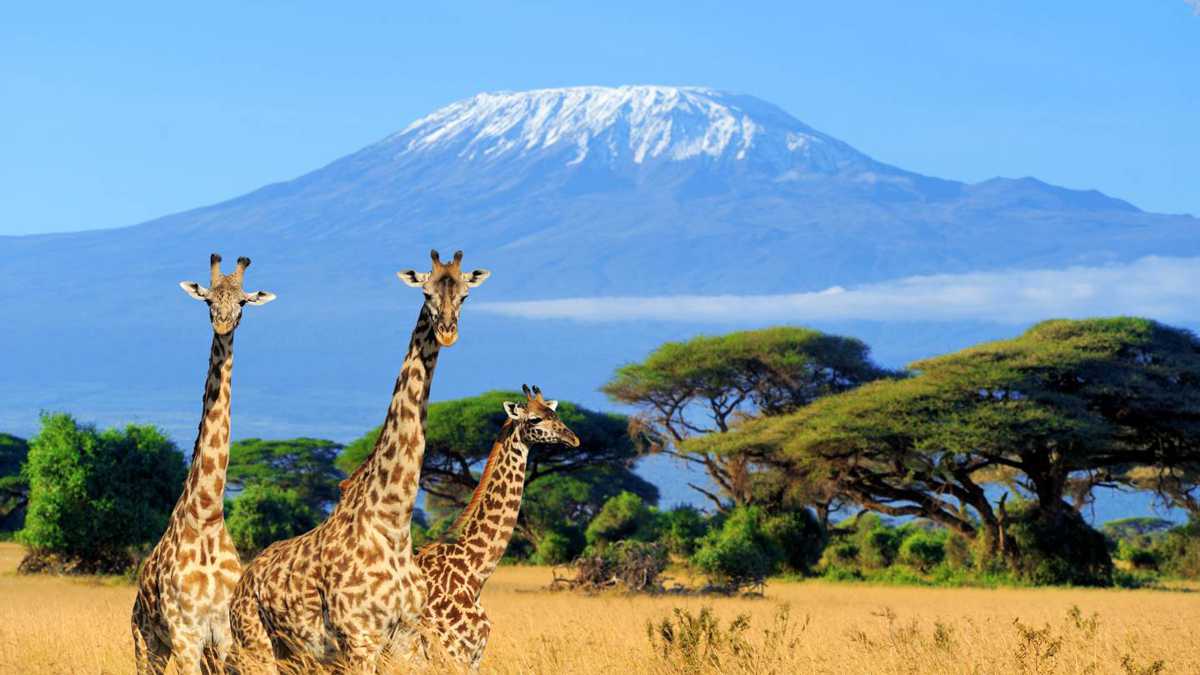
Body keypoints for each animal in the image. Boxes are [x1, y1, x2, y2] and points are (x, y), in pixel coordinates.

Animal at [131, 254, 276, 675]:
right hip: (145, 643)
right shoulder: (186, 636)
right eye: (209, 300)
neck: (208, 515)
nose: (223, 323)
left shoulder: (223, 636)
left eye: (243, 301)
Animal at [228, 250, 489, 673]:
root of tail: (243, 581)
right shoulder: (360, 639)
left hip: (298, 654)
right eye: (426, 293)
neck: (393, 523)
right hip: (256, 645)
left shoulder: (404, 640)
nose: (448, 332)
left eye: (465, 295)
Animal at [413, 385, 579, 670]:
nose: (574, 439)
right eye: (534, 419)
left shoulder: (473, 656)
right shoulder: (452, 652)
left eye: (555, 414)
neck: (473, 574)